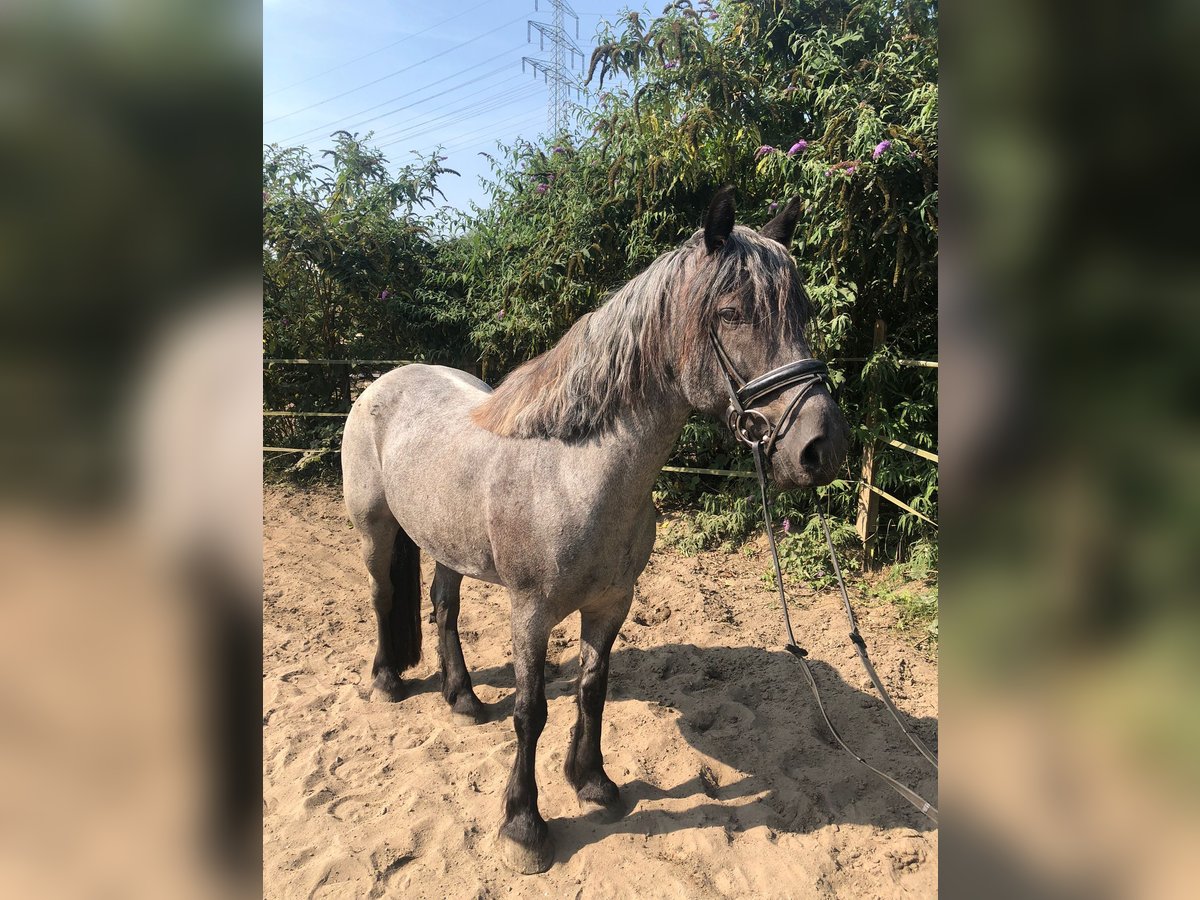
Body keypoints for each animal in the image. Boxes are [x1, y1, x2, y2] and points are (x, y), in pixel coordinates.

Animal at [340, 188, 854, 873]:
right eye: (733, 313)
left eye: (804, 312)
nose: (823, 447)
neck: (575, 473)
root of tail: (383, 380)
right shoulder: (529, 613)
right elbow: (531, 712)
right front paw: (525, 826)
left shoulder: (611, 604)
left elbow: (591, 689)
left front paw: (592, 783)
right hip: (375, 530)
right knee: (383, 597)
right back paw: (387, 683)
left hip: (444, 541)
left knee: (443, 608)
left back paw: (464, 699)